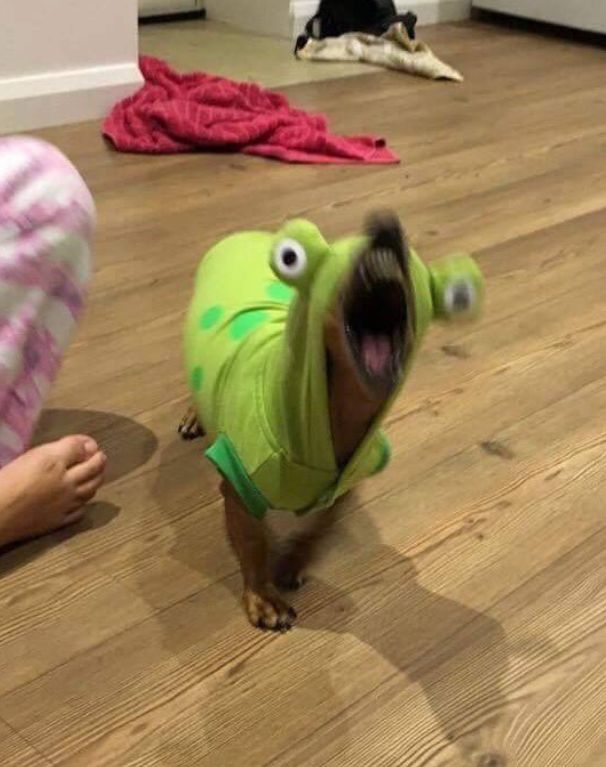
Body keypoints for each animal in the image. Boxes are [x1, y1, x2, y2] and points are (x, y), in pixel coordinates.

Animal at [183, 210, 486, 632]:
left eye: (405, 250)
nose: (386, 226)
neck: (339, 412)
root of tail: (240, 237)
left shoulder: (351, 480)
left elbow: (323, 526)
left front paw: (295, 558)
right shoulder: (239, 485)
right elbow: (253, 544)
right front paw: (263, 597)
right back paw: (192, 415)